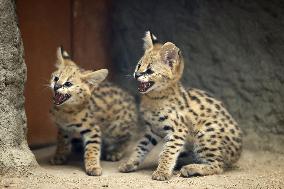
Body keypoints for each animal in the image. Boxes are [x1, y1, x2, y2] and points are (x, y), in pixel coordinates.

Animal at [49, 47, 138, 176]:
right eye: (56, 78)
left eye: (68, 84)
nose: (56, 86)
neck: (65, 111)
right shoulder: (63, 127)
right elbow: (62, 142)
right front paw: (59, 155)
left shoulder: (93, 129)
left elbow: (92, 149)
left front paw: (93, 166)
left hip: (117, 127)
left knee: (127, 137)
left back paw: (115, 151)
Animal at [118, 31, 243, 181]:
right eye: (139, 65)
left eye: (149, 70)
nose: (136, 75)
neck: (153, 99)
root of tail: (238, 153)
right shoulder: (152, 130)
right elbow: (140, 147)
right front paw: (130, 163)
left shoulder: (178, 130)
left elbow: (168, 152)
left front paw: (162, 172)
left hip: (206, 133)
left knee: (218, 165)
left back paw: (191, 168)